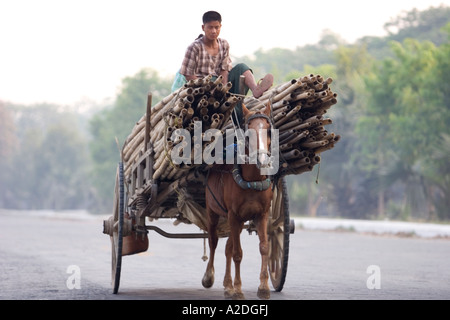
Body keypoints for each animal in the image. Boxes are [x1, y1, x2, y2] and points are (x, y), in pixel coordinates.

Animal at [204, 102, 274, 300]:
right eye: (249, 132)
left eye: (268, 130)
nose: (262, 159)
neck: (251, 181)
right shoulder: (234, 216)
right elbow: (237, 253)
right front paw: (238, 289)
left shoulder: (261, 215)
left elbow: (264, 247)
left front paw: (263, 287)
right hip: (213, 212)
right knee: (213, 242)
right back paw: (209, 276)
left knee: (228, 245)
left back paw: (227, 286)